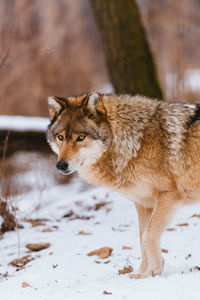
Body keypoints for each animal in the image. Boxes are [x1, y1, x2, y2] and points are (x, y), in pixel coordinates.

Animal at [46, 92, 200, 278]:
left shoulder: (168, 197)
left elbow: (148, 236)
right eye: (60, 137)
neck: (135, 143)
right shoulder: (143, 204)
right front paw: (142, 275)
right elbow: (142, 239)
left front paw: (154, 270)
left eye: (80, 137)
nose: (61, 165)